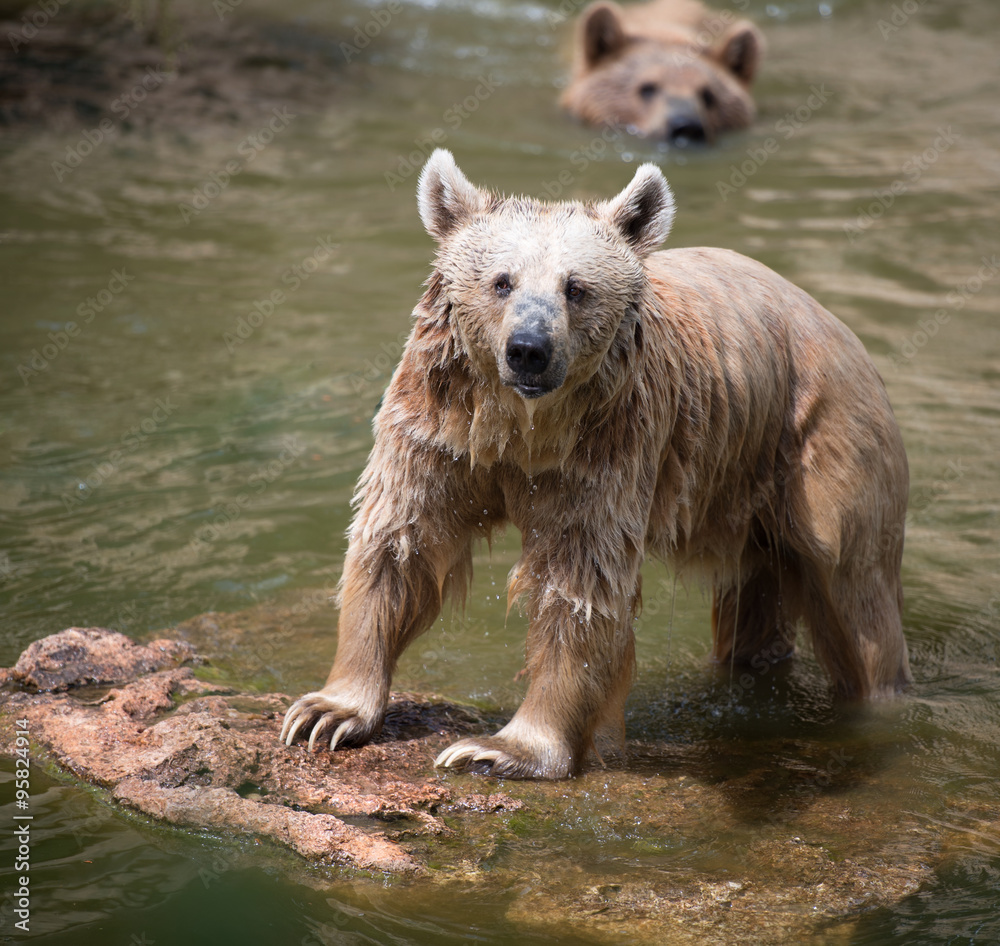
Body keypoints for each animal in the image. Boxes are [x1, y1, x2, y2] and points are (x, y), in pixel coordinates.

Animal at [280, 151, 908, 780]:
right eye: (501, 281)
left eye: (576, 287)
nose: (529, 349)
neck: (521, 427)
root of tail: (834, 323)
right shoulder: (439, 430)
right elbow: (399, 542)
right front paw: (327, 713)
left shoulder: (606, 450)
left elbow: (580, 583)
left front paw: (499, 747)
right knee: (757, 602)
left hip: (821, 448)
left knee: (857, 599)